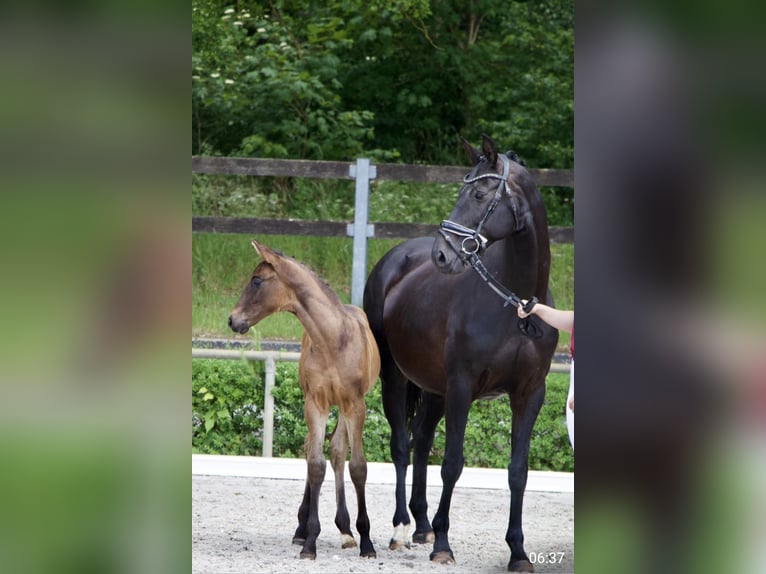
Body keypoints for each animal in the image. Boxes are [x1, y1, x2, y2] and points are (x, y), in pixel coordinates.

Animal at [228, 240, 380, 560]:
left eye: (257, 280)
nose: (233, 320)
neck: (332, 340)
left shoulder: (355, 404)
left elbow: (357, 466)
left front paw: (367, 541)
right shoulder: (315, 403)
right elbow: (315, 464)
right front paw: (310, 540)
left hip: (345, 408)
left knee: (337, 451)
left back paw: (347, 532)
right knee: (316, 450)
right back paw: (307, 529)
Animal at [363, 134, 559, 572]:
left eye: (480, 194)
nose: (442, 255)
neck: (516, 304)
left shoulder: (530, 394)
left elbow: (518, 471)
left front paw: (518, 552)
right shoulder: (463, 387)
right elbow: (453, 463)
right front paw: (443, 544)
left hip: (435, 389)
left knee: (420, 440)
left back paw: (421, 525)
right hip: (396, 378)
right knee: (402, 445)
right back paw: (401, 528)